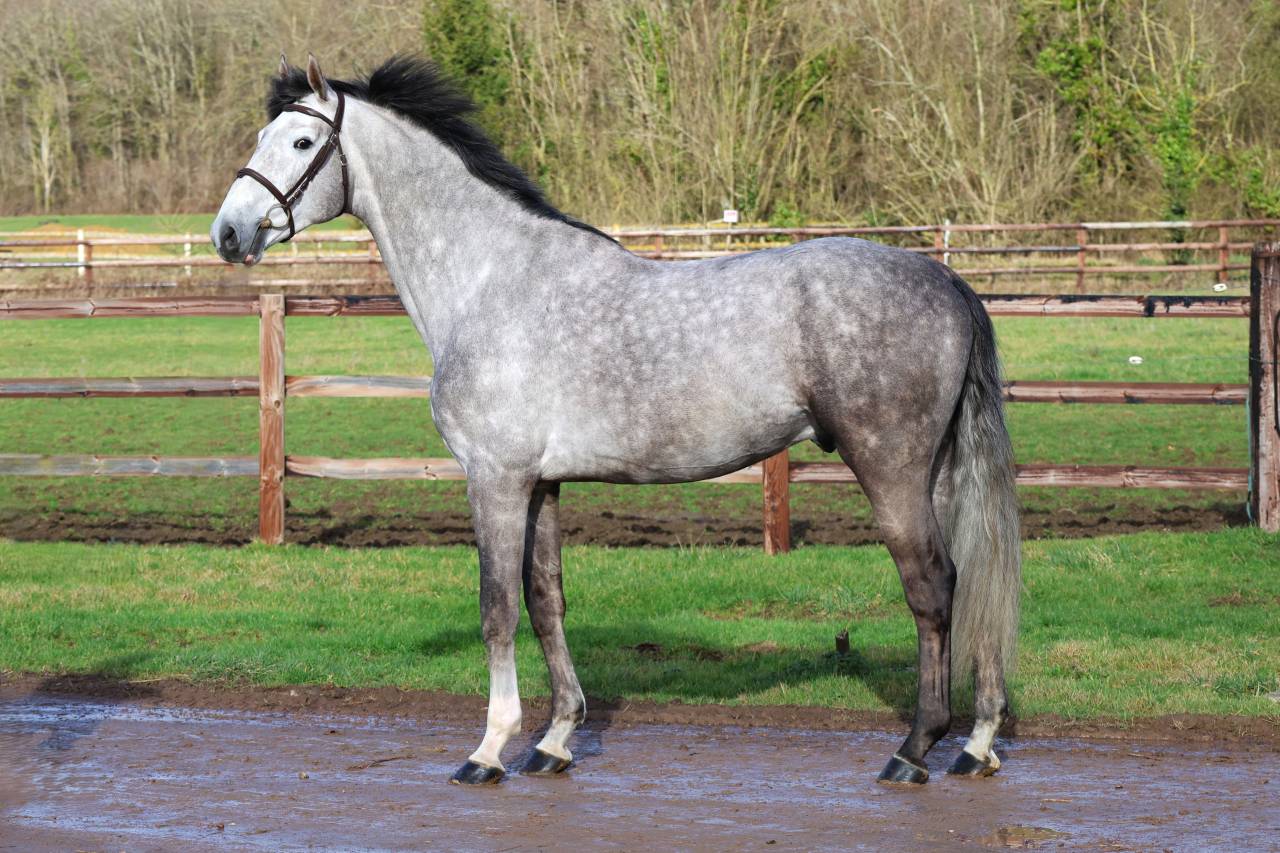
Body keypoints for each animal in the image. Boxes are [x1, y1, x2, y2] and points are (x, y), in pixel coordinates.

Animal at [212, 54, 1021, 787]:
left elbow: (498, 608)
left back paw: (915, 749)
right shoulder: (541, 482)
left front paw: (489, 748)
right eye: (263, 135)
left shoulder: (494, 478)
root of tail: (945, 279)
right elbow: (547, 601)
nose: (228, 233)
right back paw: (977, 743)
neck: (489, 280)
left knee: (933, 586)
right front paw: (554, 739)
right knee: (974, 576)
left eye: (302, 143)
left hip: (889, 468)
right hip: (939, 472)